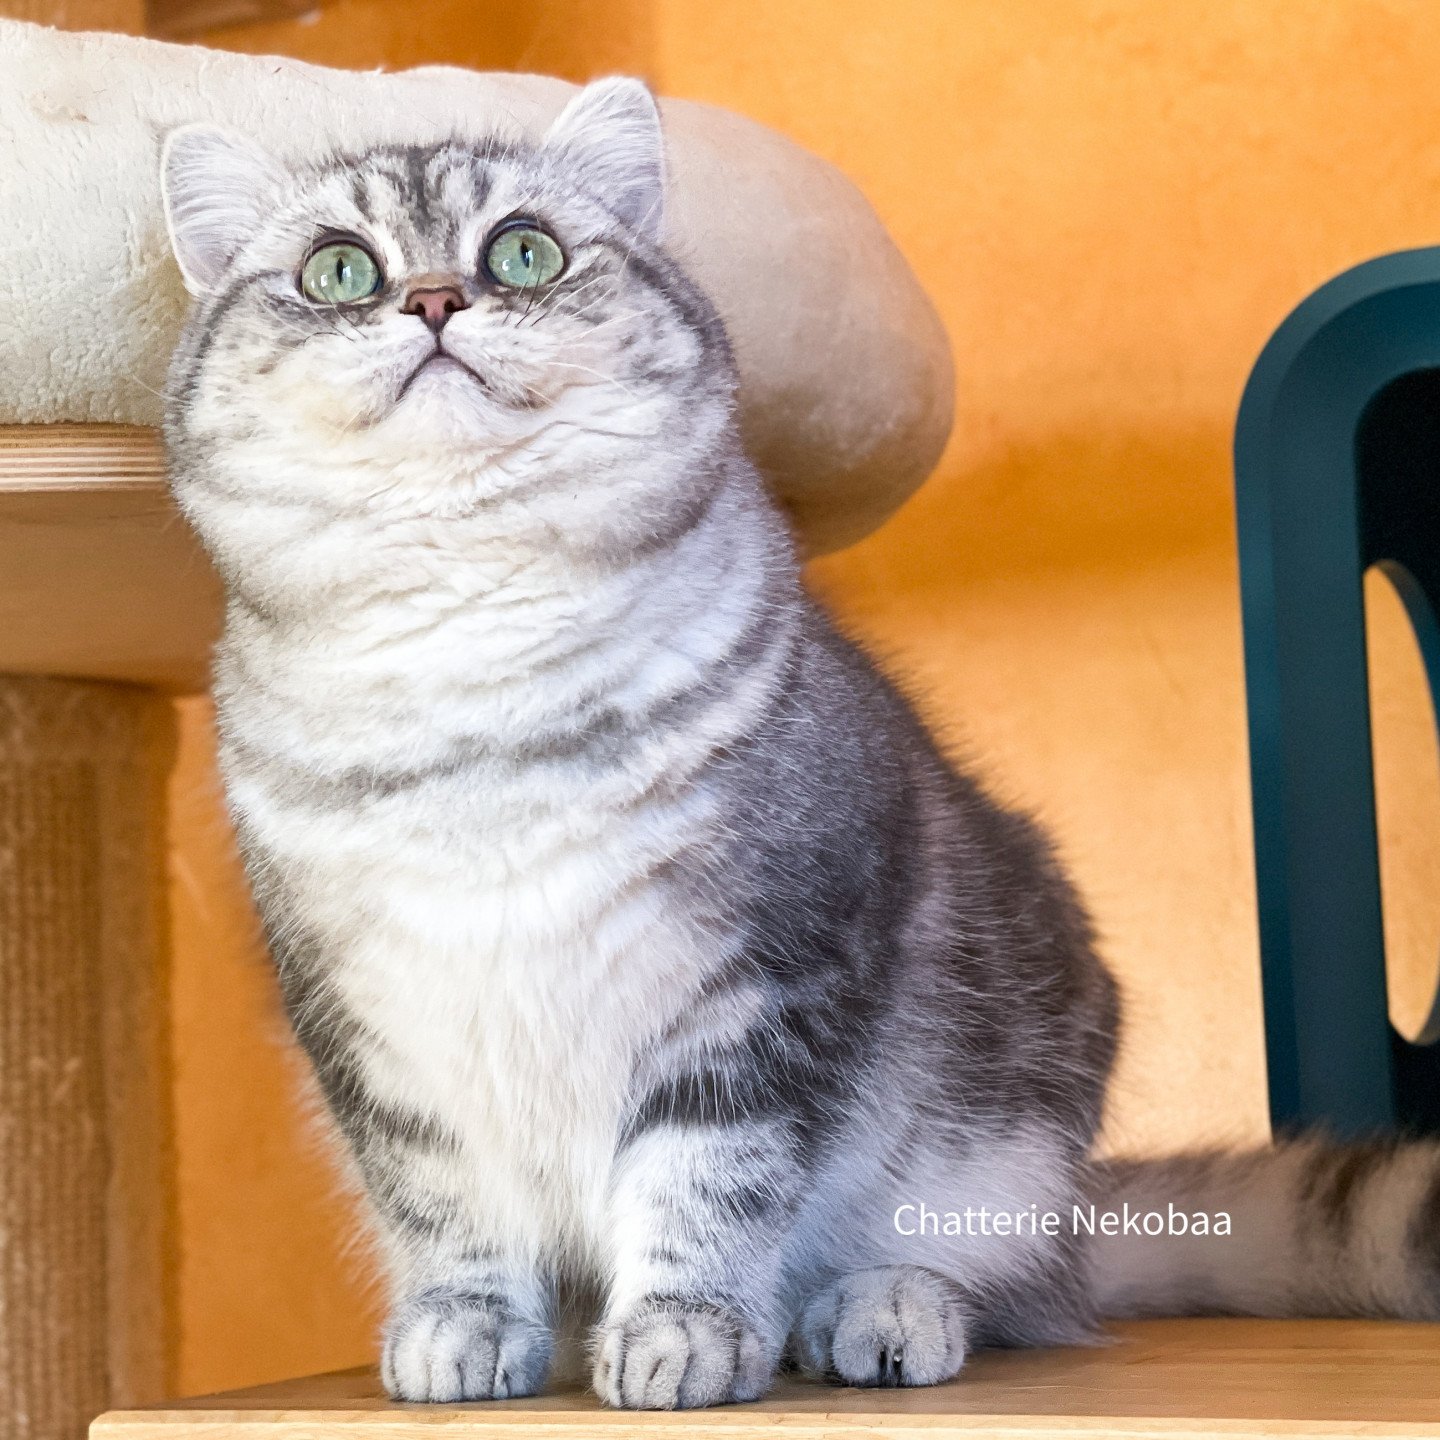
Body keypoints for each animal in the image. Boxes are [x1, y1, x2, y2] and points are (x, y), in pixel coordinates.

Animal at [157, 75, 1440, 1405]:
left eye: (524, 251)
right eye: (340, 271)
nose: (433, 300)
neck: (478, 673)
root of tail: (1081, 1220)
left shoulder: (763, 980)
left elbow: (705, 1181)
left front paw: (683, 1334)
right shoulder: (375, 1031)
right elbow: (443, 1201)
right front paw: (462, 1325)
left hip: (1001, 1148)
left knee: (1007, 1291)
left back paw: (876, 1310)